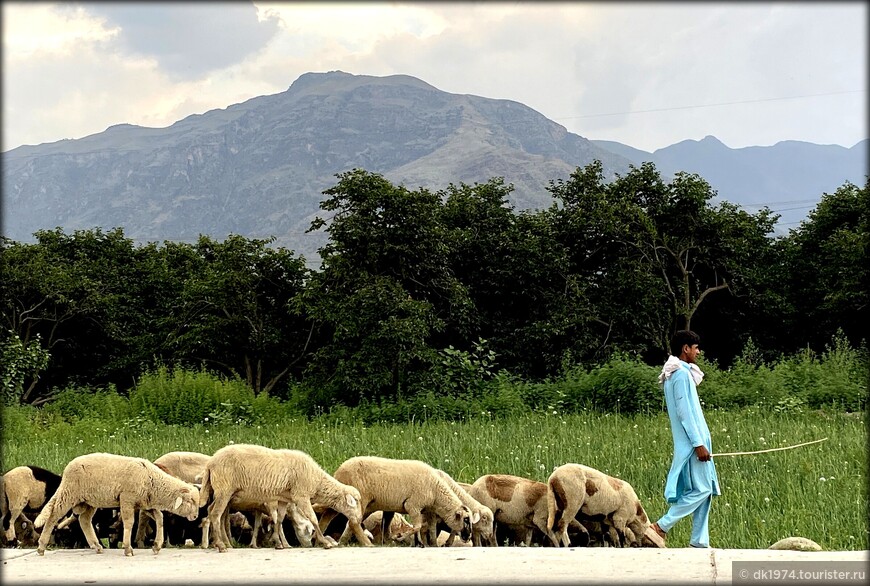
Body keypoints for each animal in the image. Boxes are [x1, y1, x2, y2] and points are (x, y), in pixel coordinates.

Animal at [34, 450, 201, 556]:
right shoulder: (127, 499)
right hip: (69, 494)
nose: (195, 517)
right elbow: (129, 522)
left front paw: (157, 546)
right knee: (53, 516)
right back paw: (41, 547)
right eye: (190, 501)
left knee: (84, 520)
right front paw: (128, 549)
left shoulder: (143, 504)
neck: (152, 480)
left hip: (89, 501)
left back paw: (97, 546)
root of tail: (68, 467)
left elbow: (160, 519)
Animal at [198, 444, 368, 548]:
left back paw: (221, 543)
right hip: (224, 489)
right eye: (355, 503)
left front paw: (279, 543)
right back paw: (221, 545)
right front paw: (325, 543)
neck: (317, 481)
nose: (359, 519)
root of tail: (210, 463)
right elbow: (313, 518)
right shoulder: (301, 496)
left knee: (212, 512)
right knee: (216, 514)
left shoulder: (284, 499)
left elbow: (279, 519)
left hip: (223, 492)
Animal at [316, 454, 474, 544]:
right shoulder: (413, 505)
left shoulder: (403, 509)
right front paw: (400, 538)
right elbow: (417, 526)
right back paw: (367, 544)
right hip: (361, 500)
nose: (467, 537)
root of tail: (339, 470)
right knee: (353, 523)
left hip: (341, 500)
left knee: (328, 516)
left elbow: (430, 529)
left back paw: (322, 540)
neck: (436, 492)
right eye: (466, 519)